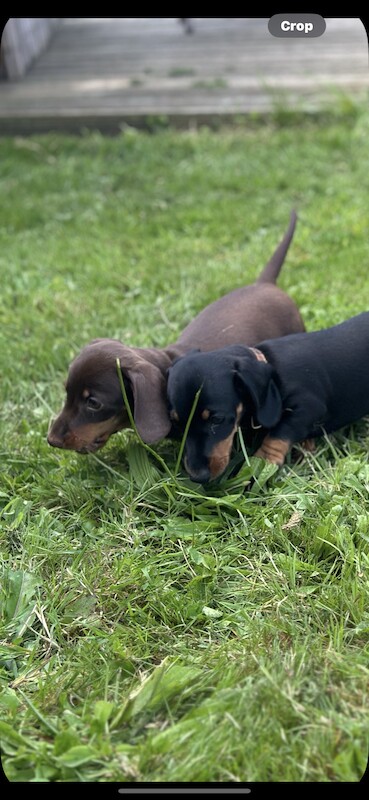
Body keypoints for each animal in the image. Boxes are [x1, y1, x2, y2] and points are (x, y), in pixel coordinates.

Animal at [167, 312, 369, 482]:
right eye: (177, 424)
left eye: (217, 419)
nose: (197, 477)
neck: (273, 370)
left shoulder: (309, 407)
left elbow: (278, 433)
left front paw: (262, 463)